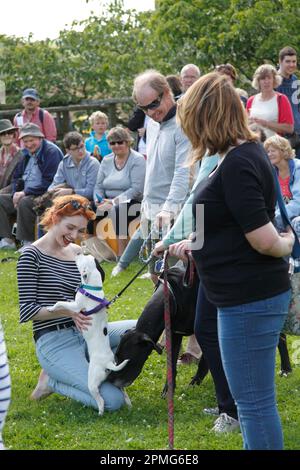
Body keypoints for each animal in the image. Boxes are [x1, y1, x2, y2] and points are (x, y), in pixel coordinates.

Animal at [47, 253, 129, 414]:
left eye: (82, 258)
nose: (78, 252)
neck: (93, 287)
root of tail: (108, 363)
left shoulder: (76, 306)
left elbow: (60, 303)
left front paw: (51, 308)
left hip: (92, 380)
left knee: (100, 398)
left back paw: (100, 411)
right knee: (121, 388)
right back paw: (128, 402)